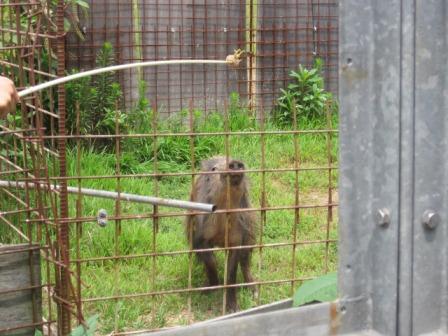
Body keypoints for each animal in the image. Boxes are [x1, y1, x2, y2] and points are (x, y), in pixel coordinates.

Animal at [186, 156, 256, 312]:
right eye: (214, 169)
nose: (235, 163)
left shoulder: (237, 238)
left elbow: (231, 272)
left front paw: (233, 309)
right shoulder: (200, 236)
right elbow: (210, 263)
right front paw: (209, 288)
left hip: (250, 233)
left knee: (246, 261)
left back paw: (254, 290)